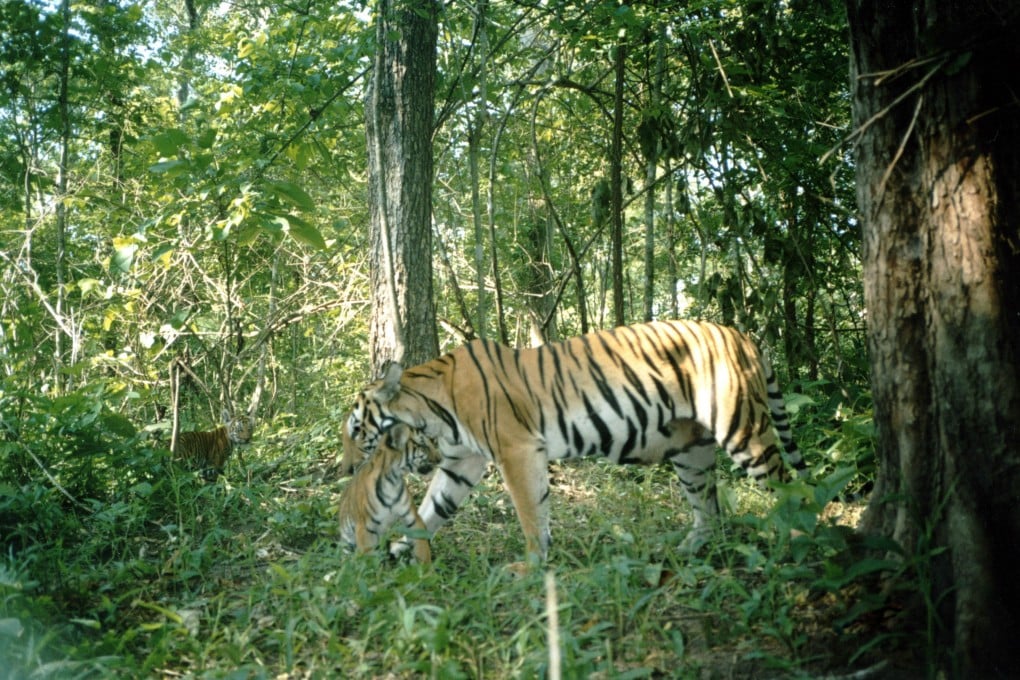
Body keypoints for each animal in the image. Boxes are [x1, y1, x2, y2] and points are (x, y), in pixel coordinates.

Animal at [337, 422, 439, 563]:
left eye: (432, 441)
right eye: (422, 445)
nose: (439, 459)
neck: (392, 480)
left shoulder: (412, 519)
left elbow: (422, 548)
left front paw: (425, 568)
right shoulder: (365, 528)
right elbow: (368, 560)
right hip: (348, 542)